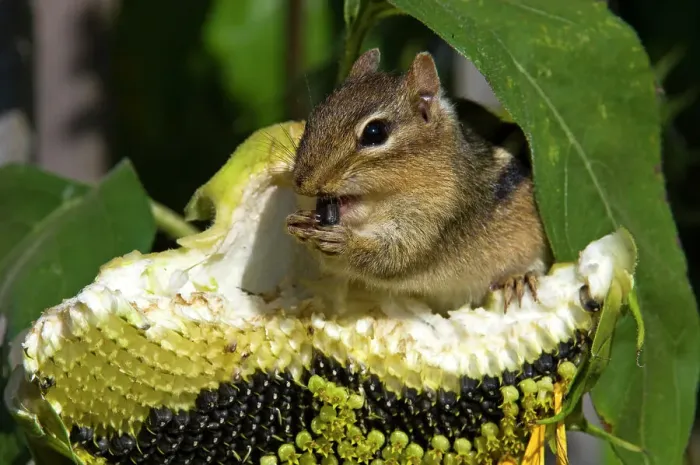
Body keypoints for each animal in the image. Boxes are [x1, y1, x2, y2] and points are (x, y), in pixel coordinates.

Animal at [285, 48, 551, 312]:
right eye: (314, 117)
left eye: (374, 132)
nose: (301, 182)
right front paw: (297, 222)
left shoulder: (436, 221)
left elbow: (394, 259)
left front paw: (344, 242)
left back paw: (518, 278)